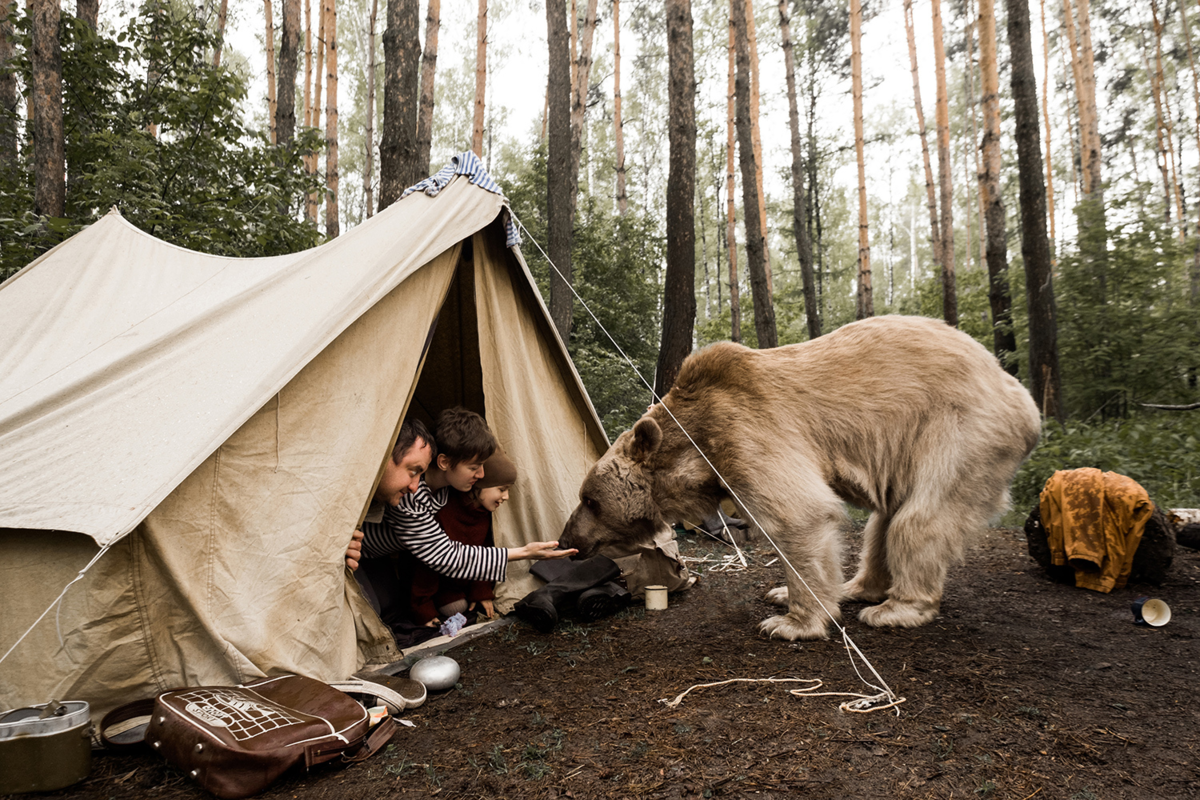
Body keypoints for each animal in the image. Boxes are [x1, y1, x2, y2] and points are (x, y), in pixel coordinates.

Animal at [559, 316, 1041, 642]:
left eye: (590, 498)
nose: (568, 538)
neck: (695, 446)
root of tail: (1021, 395)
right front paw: (783, 596)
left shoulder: (745, 432)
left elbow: (799, 515)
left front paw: (789, 622)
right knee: (883, 522)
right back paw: (855, 587)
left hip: (958, 432)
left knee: (920, 519)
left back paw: (895, 609)